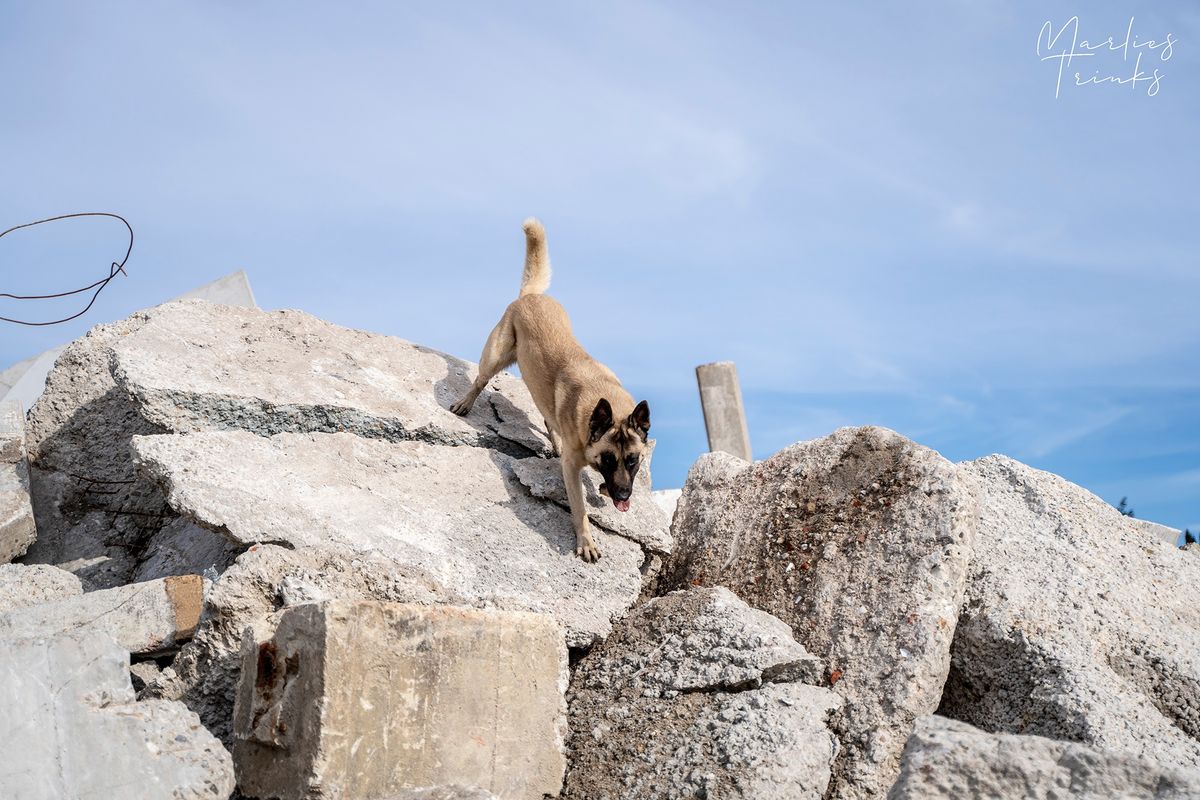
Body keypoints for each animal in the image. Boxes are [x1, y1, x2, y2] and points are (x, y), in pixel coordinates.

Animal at [451, 215, 652, 561]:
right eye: (609, 459)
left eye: (632, 460)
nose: (624, 495)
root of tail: (531, 295)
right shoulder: (571, 468)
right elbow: (580, 509)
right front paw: (586, 541)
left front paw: (602, 489)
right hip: (494, 357)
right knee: (479, 381)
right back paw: (465, 402)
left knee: (547, 417)